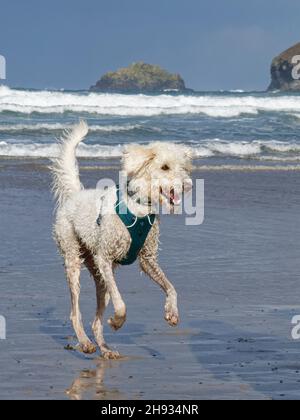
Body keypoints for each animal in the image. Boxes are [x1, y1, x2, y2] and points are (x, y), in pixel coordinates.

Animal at [51, 120, 192, 358]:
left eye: (183, 167)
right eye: (165, 167)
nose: (187, 185)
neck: (139, 208)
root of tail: (75, 194)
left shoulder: (147, 259)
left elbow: (171, 287)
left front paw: (171, 312)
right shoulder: (105, 258)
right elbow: (121, 304)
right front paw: (117, 321)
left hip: (100, 278)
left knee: (96, 321)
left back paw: (105, 349)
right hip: (74, 260)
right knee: (75, 311)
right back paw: (85, 342)